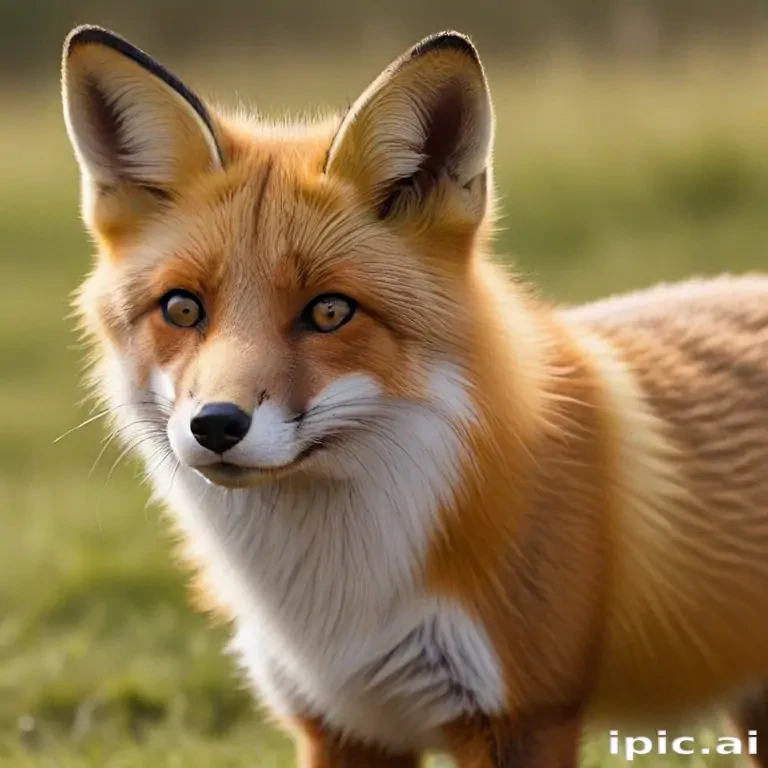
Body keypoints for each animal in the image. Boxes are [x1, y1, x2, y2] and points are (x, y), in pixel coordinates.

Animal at [60, 23, 768, 768]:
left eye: (330, 312)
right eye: (183, 309)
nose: (217, 425)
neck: (338, 607)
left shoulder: (523, 714)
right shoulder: (341, 724)